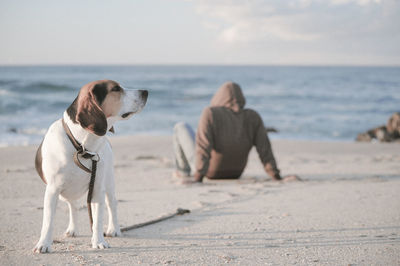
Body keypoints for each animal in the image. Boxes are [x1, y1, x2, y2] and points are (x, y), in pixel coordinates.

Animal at [33, 79, 148, 254]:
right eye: (116, 89)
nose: (146, 92)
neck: (82, 147)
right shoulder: (52, 190)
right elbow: (48, 221)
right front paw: (44, 243)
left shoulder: (97, 189)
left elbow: (98, 220)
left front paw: (99, 241)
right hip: (66, 193)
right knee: (73, 206)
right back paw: (72, 229)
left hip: (108, 183)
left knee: (112, 204)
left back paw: (113, 229)